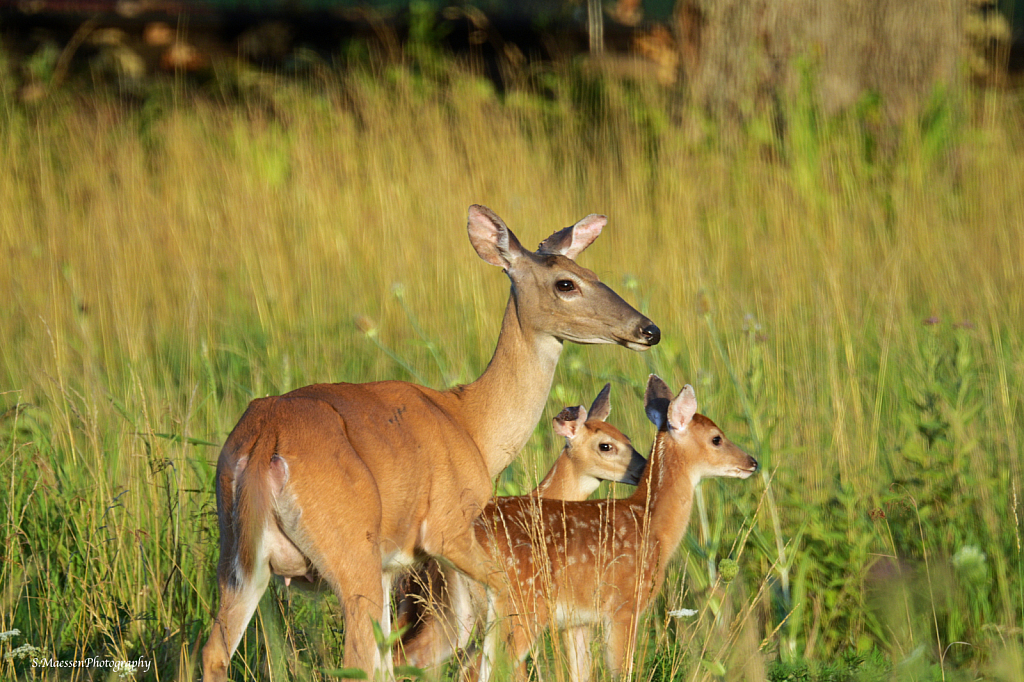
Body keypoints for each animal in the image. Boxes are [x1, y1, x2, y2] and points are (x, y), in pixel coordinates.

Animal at [468, 376, 757, 679]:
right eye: (716, 438)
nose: (752, 462)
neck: (651, 523)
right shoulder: (623, 607)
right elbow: (621, 672)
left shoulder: (578, 620)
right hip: (521, 603)